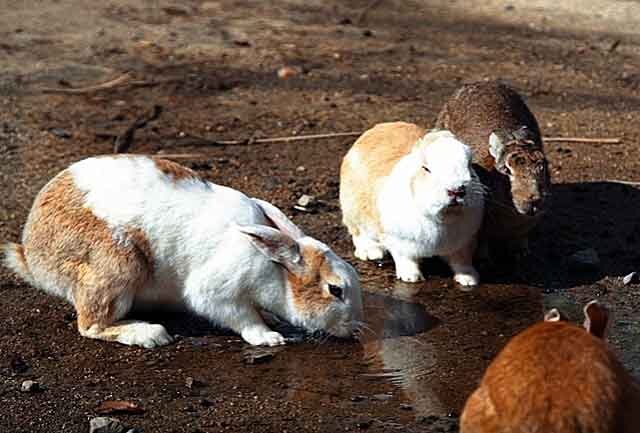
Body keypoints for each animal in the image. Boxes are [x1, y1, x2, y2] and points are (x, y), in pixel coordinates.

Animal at [2, 155, 362, 348]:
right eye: (335, 289)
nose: (356, 328)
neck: (274, 268)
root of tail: (32, 255)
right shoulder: (217, 292)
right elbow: (240, 316)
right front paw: (269, 337)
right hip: (116, 268)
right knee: (91, 325)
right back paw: (150, 334)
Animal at [342, 121, 482, 286]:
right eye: (426, 168)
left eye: (469, 164)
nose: (456, 190)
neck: (443, 217)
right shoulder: (400, 242)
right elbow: (406, 259)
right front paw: (410, 277)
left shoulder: (464, 243)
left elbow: (461, 262)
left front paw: (469, 279)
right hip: (353, 211)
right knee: (358, 234)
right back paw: (372, 252)